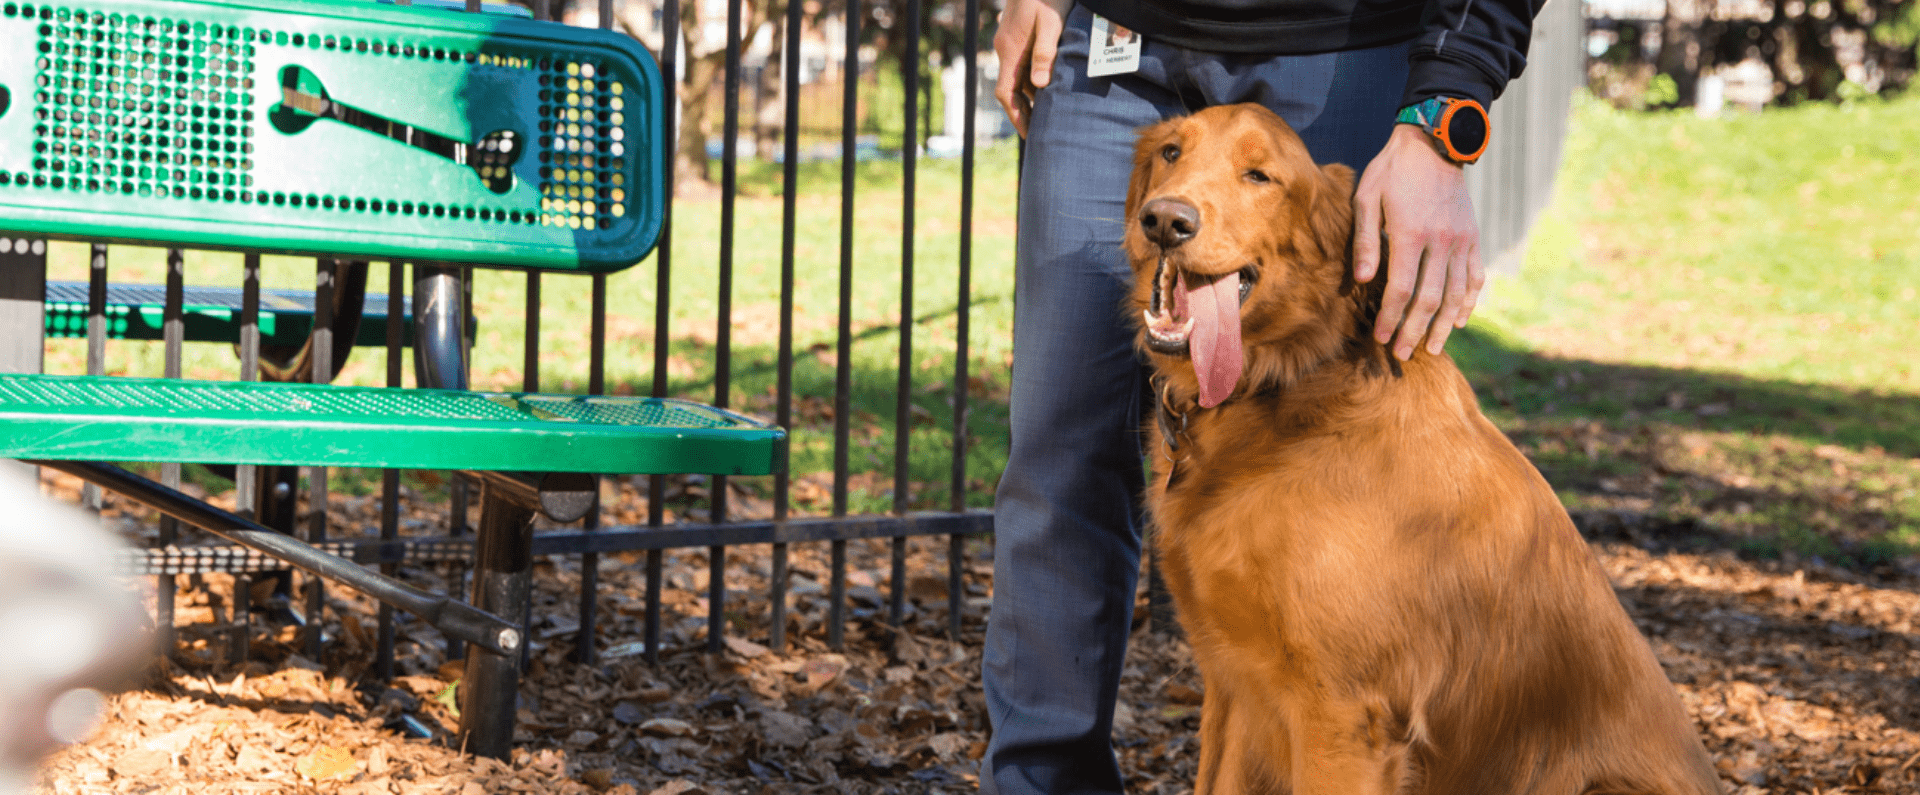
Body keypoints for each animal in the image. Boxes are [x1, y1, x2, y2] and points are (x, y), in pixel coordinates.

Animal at [1121, 105, 1728, 795]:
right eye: (1171, 152)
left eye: (1259, 175)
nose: (1165, 220)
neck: (1292, 379)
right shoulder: (1231, 684)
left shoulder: (1341, 711)